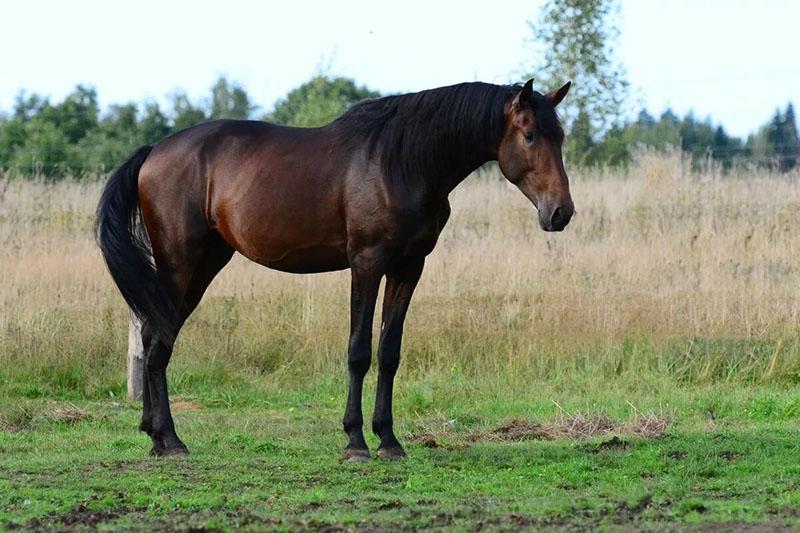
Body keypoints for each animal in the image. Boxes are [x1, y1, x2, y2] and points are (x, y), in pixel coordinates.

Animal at [97, 77, 572, 460]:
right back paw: (171, 440)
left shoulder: (408, 268)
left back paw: (154, 437)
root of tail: (153, 152)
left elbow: (389, 352)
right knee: (158, 343)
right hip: (180, 263)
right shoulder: (366, 263)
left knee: (153, 335)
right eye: (530, 134)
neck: (401, 161)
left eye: (561, 136)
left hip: (205, 264)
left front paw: (389, 440)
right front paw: (355, 441)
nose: (561, 212)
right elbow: (359, 351)